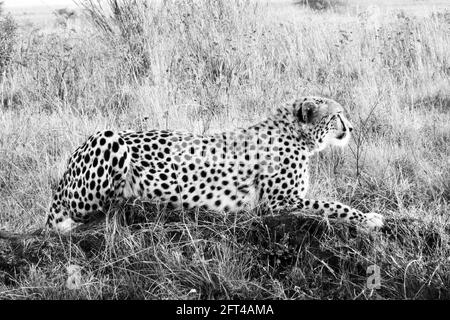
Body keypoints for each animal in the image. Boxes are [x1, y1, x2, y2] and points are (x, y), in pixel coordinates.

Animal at [45, 96, 384, 234]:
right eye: (337, 115)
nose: (351, 128)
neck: (294, 131)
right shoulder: (277, 202)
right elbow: (331, 204)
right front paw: (369, 217)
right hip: (108, 136)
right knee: (90, 211)